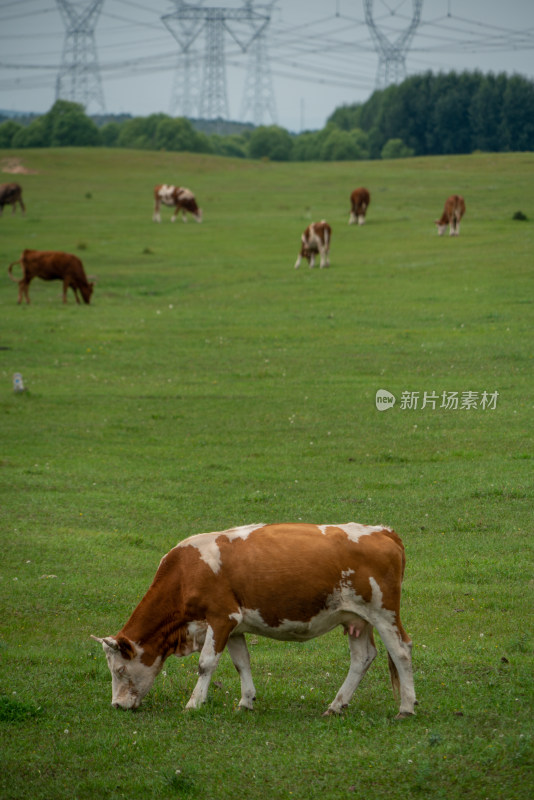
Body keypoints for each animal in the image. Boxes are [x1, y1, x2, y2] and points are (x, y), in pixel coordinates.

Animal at [92, 520, 418, 720]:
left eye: (119, 669)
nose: (116, 705)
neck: (186, 572)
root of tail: (383, 531)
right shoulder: (234, 625)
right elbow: (241, 662)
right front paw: (245, 701)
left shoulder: (221, 616)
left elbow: (206, 663)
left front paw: (194, 703)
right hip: (356, 619)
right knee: (363, 657)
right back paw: (336, 706)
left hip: (384, 612)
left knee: (401, 651)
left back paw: (406, 707)